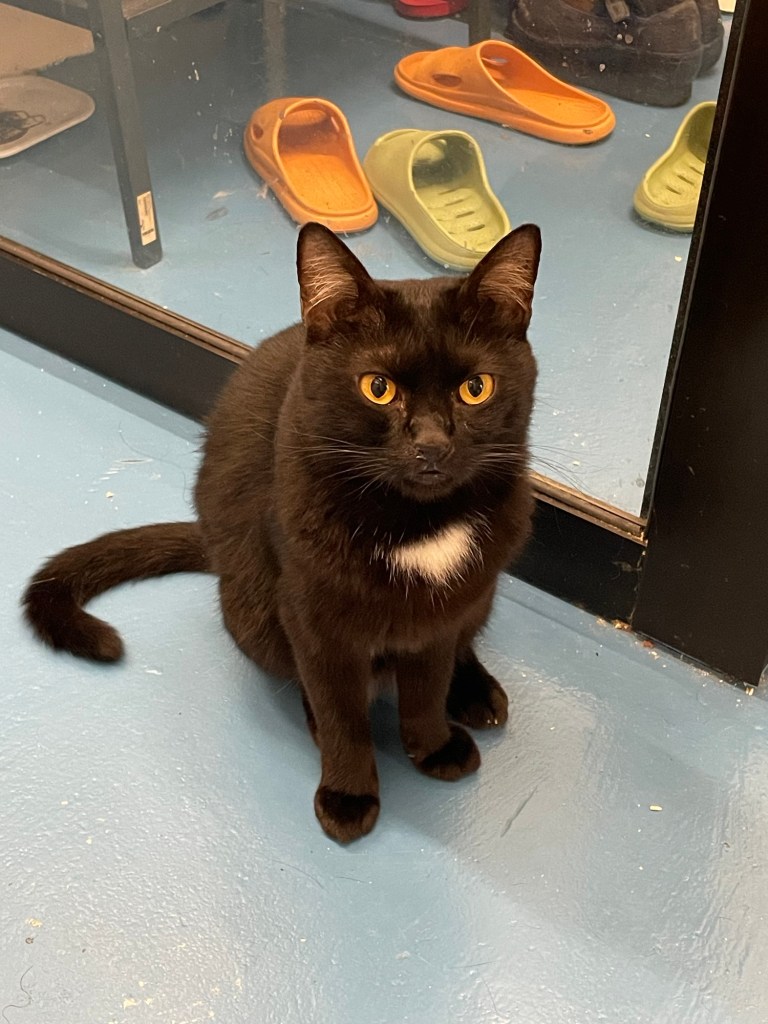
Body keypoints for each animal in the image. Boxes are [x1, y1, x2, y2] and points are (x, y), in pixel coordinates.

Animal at [23, 221, 541, 843]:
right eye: (378, 388)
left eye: (475, 388)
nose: (433, 445)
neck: (416, 524)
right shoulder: (312, 618)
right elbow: (342, 712)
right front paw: (349, 793)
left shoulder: (440, 616)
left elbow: (426, 686)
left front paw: (432, 746)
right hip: (255, 612)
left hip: (479, 595)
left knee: (463, 644)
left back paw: (475, 693)